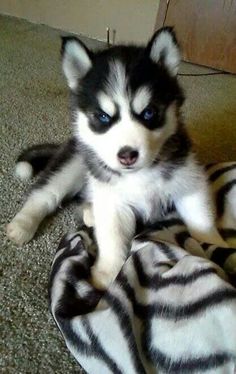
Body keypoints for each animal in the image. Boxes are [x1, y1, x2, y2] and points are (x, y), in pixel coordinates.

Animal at [6, 27, 225, 288]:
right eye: (103, 116)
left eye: (149, 113)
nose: (127, 155)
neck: (139, 175)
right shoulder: (114, 205)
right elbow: (112, 241)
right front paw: (105, 275)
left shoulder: (189, 180)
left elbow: (202, 221)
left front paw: (217, 245)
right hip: (74, 163)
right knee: (45, 194)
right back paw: (22, 225)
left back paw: (90, 213)